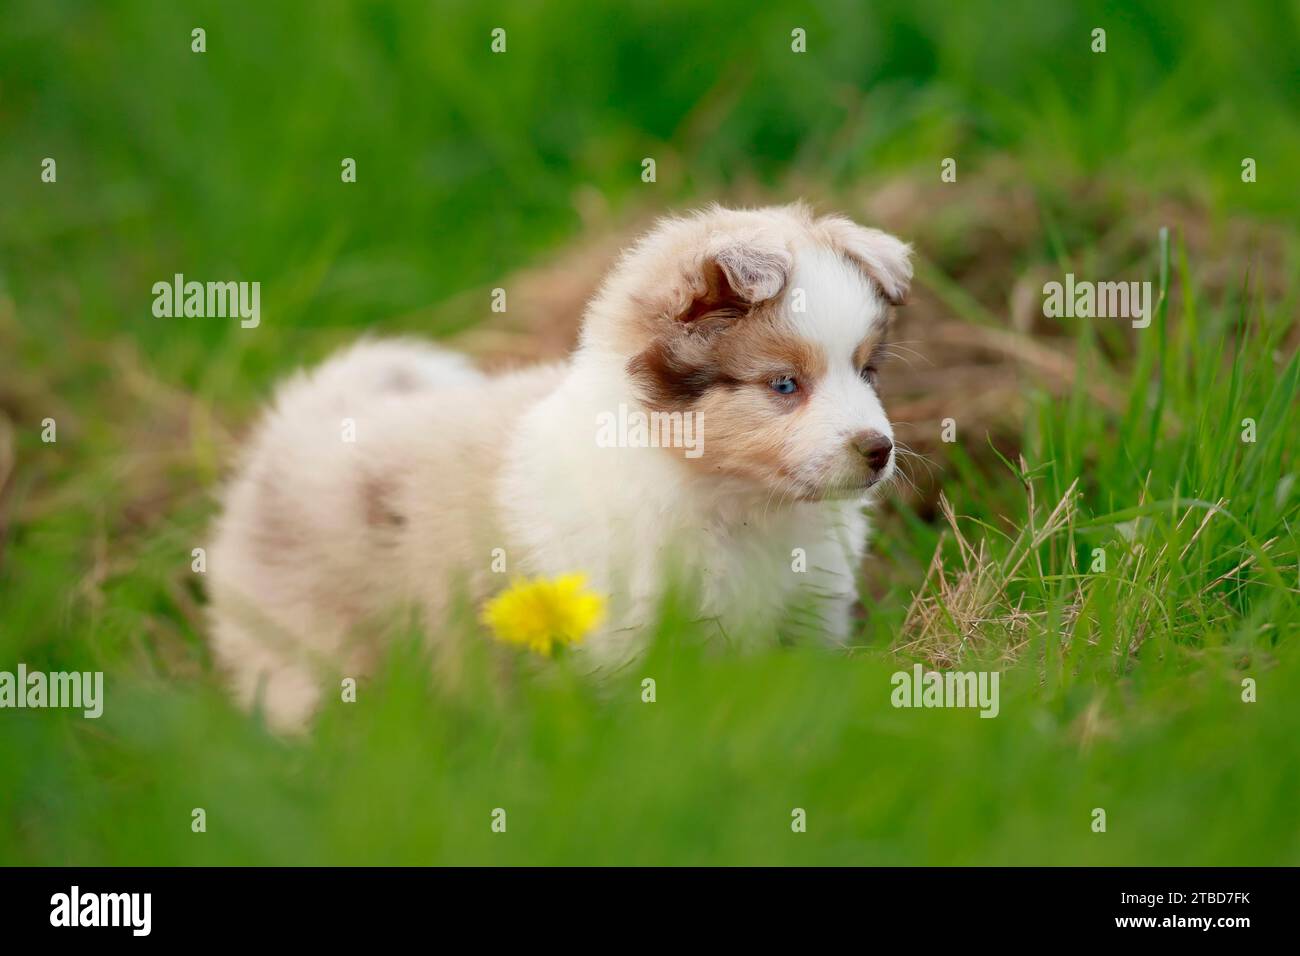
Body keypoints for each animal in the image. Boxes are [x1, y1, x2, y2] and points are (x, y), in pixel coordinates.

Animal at [208, 201, 909, 723]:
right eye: (784, 384)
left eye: (866, 371)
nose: (880, 450)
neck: (738, 503)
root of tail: (304, 415)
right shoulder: (630, 641)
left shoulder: (806, 616)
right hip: (304, 647)